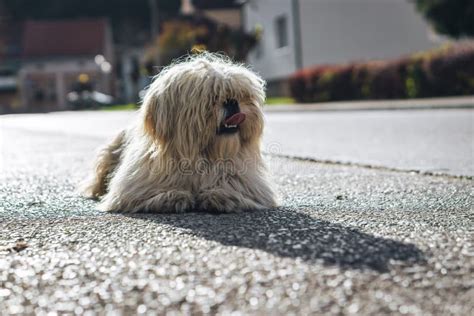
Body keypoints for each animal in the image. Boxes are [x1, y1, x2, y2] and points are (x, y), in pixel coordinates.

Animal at [79, 54, 276, 212]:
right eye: (211, 97)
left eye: (242, 95)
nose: (231, 101)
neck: (200, 156)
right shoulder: (133, 188)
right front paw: (172, 196)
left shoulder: (249, 182)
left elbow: (237, 186)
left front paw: (221, 194)